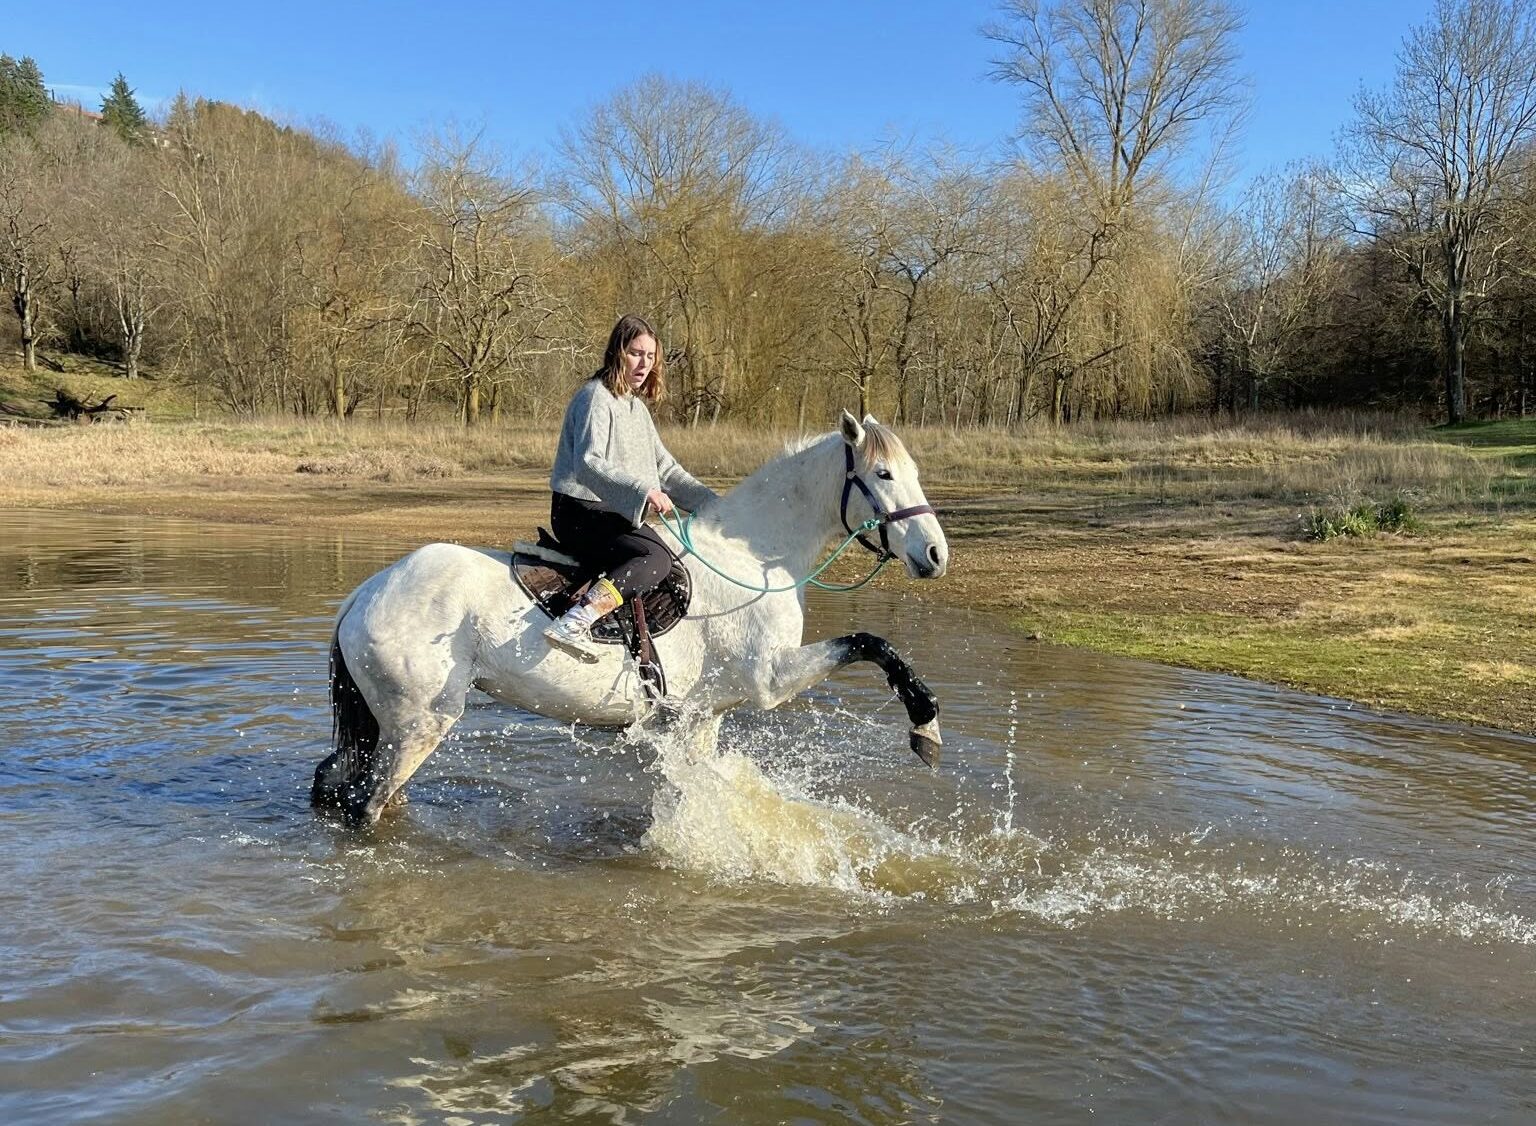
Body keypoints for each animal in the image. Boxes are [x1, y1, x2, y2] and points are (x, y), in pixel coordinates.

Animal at [311, 410, 950, 826]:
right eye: (885, 475)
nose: (936, 554)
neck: (750, 558)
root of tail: (364, 594)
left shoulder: (705, 715)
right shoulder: (771, 679)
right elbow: (870, 642)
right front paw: (926, 725)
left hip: (384, 727)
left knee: (332, 784)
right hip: (417, 726)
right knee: (364, 807)